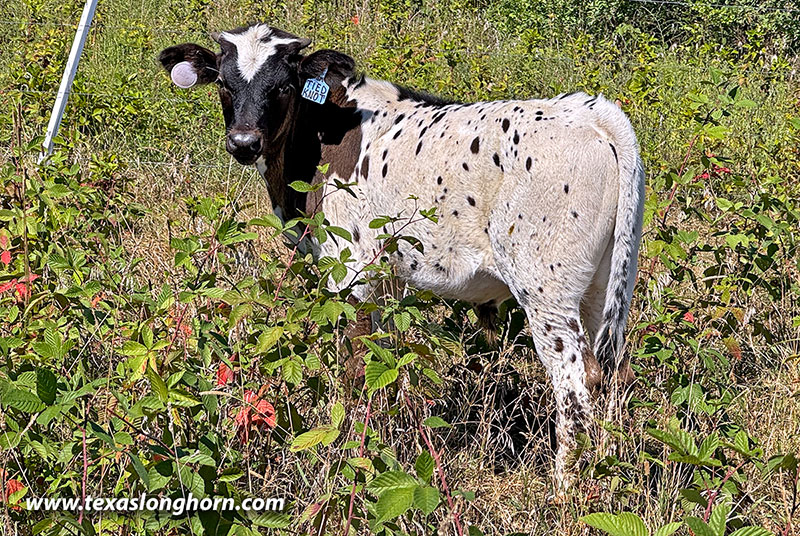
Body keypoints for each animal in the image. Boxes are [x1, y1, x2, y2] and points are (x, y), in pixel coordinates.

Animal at [158, 23, 645, 486]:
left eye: (282, 85)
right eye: (224, 82)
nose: (243, 142)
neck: (320, 132)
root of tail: (590, 111)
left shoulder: (349, 271)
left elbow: (355, 368)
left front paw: (348, 457)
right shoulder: (387, 279)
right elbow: (388, 359)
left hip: (544, 288)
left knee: (574, 380)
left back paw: (564, 489)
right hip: (603, 286)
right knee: (612, 371)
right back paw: (606, 471)